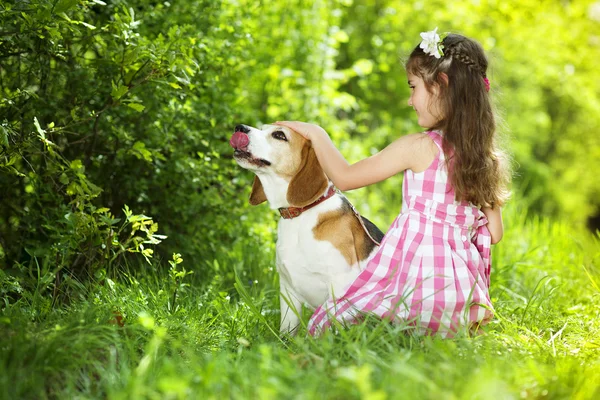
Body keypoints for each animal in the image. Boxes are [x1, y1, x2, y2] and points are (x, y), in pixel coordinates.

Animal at [230, 124, 384, 334]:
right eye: (262, 128)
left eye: (279, 135)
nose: (240, 127)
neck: (299, 215)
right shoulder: (288, 291)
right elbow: (287, 330)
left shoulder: (339, 286)